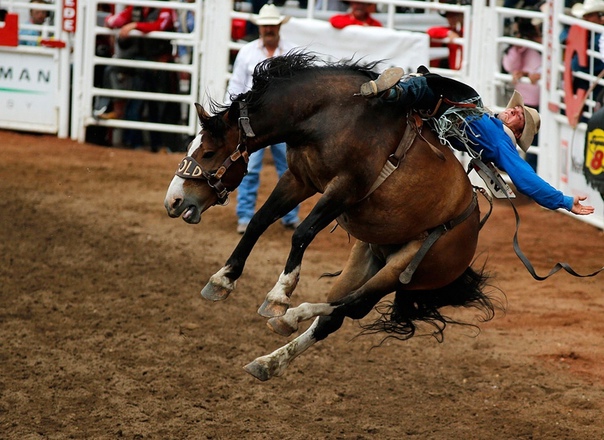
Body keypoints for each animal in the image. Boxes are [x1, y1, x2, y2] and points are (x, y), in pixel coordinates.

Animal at [163, 52, 494, 382]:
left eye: (208, 153)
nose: (174, 201)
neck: (328, 116)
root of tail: (473, 229)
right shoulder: (299, 179)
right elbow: (259, 220)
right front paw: (223, 278)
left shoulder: (344, 188)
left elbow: (303, 232)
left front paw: (279, 296)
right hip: (366, 259)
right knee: (334, 317)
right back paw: (269, 361)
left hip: (404, 267)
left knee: (352, 304)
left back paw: (292, 315)